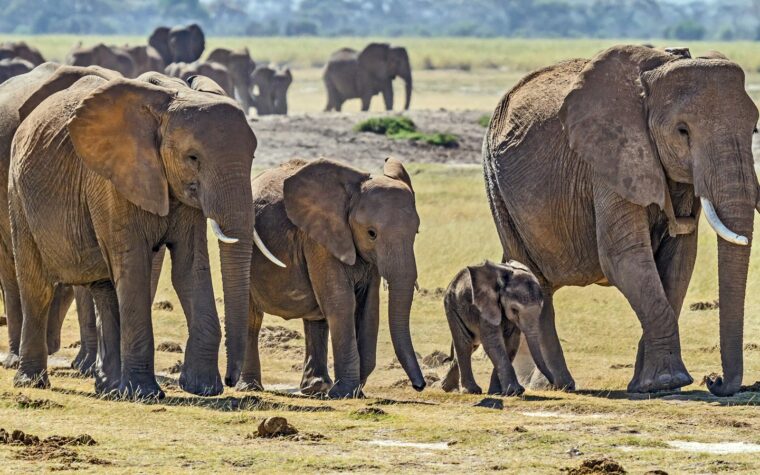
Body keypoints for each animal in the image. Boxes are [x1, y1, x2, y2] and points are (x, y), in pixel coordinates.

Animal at [9, 68, 278, 398]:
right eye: (193, 158)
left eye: (252, 157)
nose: (231, 380)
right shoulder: (112, 182)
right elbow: (134, 265)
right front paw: (145, 393)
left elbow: (190, 269)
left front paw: (203, 388)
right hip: (18, 193)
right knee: (37, 285)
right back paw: (32, 381)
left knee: (105, 288)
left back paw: (109, 388)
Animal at [238, 158, 426, 398]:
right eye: (371, 233)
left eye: (416, 232)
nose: (419, 386)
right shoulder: (319, 239)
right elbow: (341, 302)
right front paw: (344, 392)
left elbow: (369, 308)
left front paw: (352, 392)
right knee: (252, 317)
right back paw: (251, 387)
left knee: (316, 317)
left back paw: (315, 388)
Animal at [439, 261, 556, 396]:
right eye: (514, 310)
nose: (552, 384)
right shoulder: (484, 308)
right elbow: (493, 342)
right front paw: (515, 391)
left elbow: (511, 344)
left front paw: (497, 393)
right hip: (452, 305)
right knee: (465, 343)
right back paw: (471, 391)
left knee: (472, 345)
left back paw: (446, 387)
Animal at [483, 44, 759, 396]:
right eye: (682, 131)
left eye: (754, 129)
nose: (714, 380)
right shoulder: (608, 159)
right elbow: (624, 258)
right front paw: (668, 382)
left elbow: (679, 260)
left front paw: (648, 385)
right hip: (496, 184)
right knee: (534, 280)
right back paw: (558, 385)